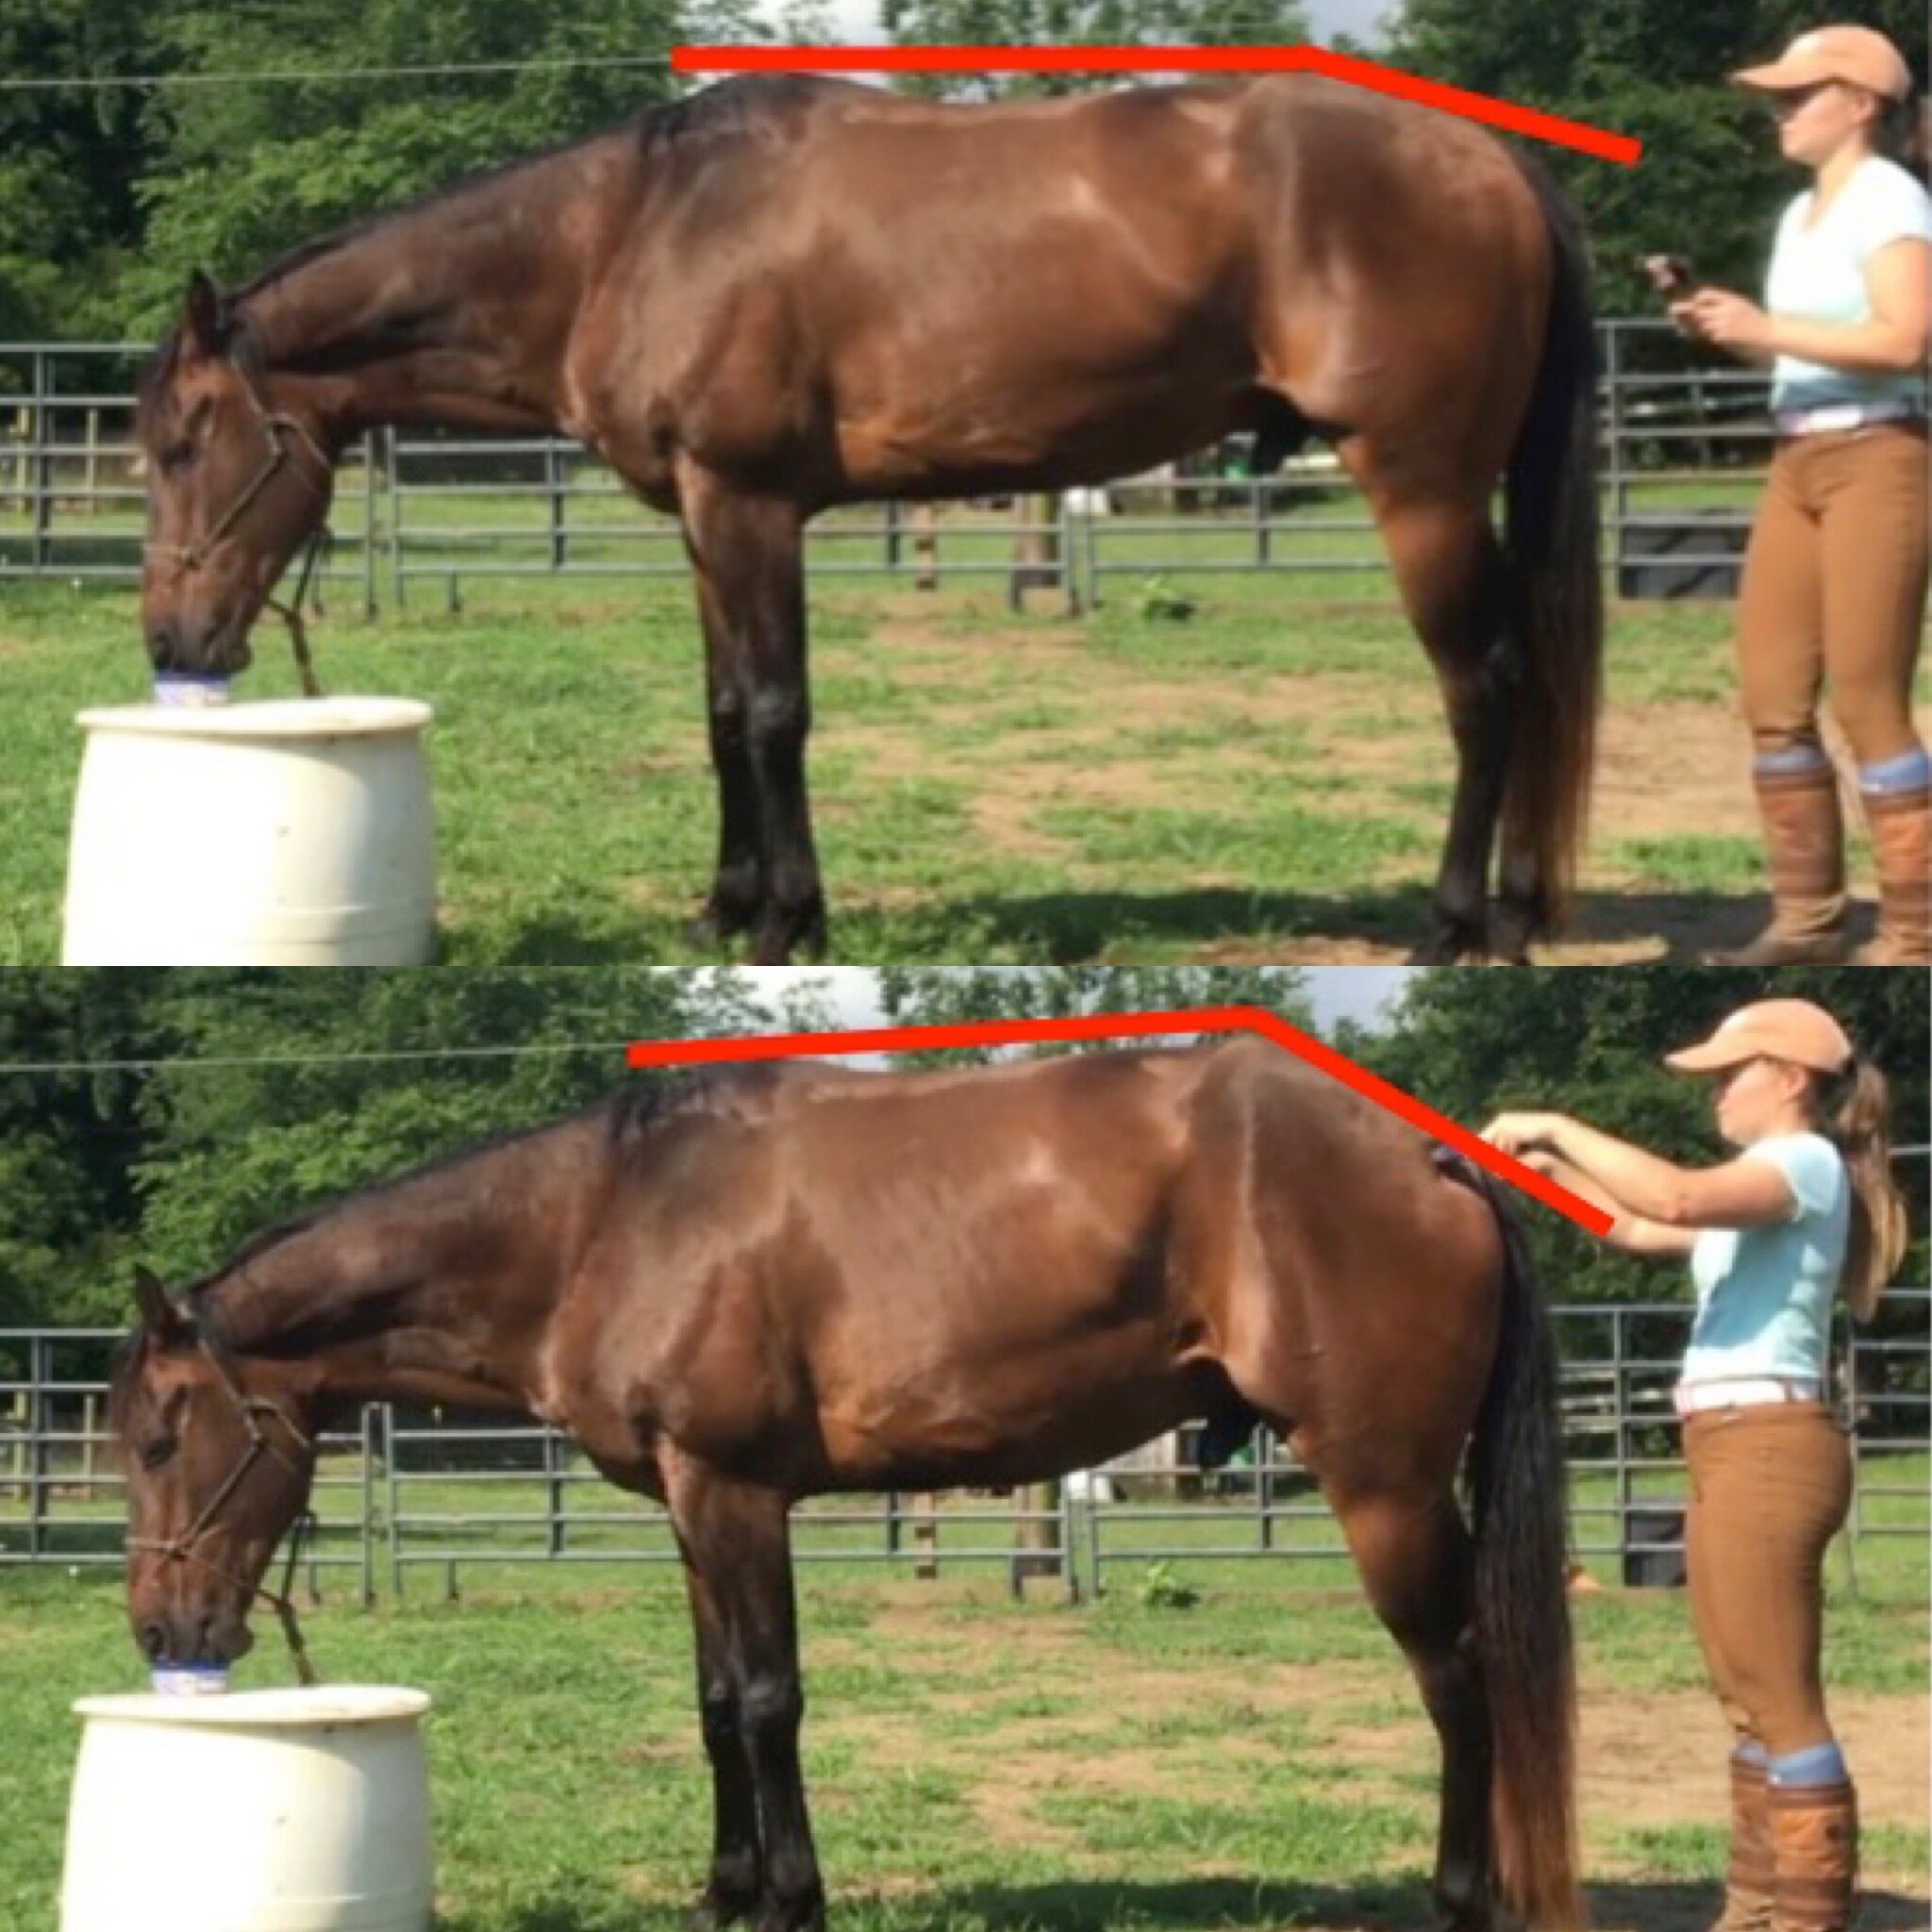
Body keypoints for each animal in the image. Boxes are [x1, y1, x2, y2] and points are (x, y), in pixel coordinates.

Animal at [111, 1038, 1580, 1932]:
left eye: (156, 1438)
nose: (161, 1628)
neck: (604, 1221)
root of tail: (1428, 1155)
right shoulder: (689, 1509)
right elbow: (714, 1703)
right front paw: (726, 1888)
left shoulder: (734, 1493)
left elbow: (769, 1701)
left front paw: (792, 1896)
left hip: (1383, 1488)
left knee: (1459, 1681)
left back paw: (1462, 1894)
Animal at [133, 71, 1603, 967]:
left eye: (184, 441)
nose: (173, 638)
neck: (628, 234)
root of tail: (1491, 159)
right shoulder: (700, 518)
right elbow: (726, 715)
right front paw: (725, 911)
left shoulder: (750, 504)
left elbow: (779, 715)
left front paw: (789, 924)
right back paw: (1513, 912)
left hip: (1418, 488)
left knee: (1484, 686)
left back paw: (1453, 926)